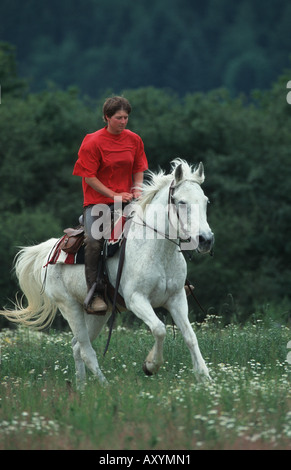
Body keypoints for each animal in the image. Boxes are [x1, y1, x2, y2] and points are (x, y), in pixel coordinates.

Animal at [0, 160, 214, 388]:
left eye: (205, 201)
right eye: (181, 202)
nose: (206, 240)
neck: (156, 248)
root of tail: (51, 250)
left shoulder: (177, 298)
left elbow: (190, 336)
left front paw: (205, 379)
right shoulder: (136, 299)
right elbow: (159, 329)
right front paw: (151, 365)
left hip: (98, 314)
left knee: (77, 347)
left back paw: (81, 388)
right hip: (70, 307)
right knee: (86, 351)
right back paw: (105, 387)